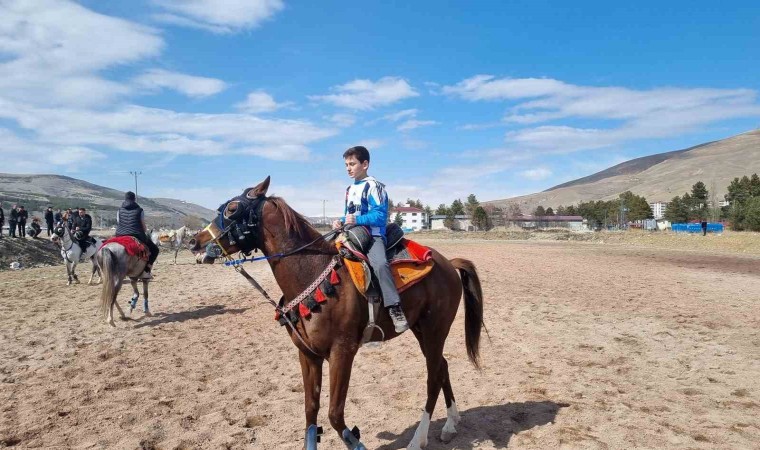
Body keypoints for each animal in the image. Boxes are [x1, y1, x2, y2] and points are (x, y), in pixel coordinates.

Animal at [189, 177, 485, 449]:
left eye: (232, 209)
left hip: (435, 330)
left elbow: (334, 415)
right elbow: (311, 410)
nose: (195, 242)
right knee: (442, 367)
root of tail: (448, 263)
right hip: (421, 330)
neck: (311, 272)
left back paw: (418, 440)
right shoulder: (308, 354)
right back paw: (450, 424)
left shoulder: (342, 352)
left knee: (433, 377)